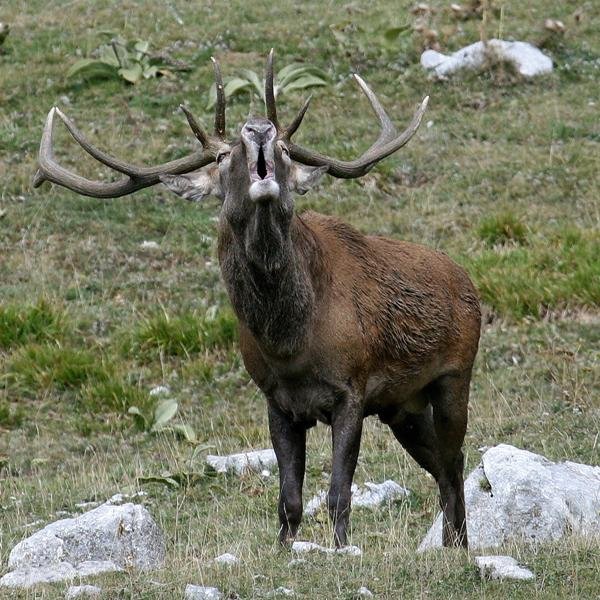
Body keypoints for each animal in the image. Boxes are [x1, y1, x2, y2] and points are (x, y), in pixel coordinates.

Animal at [33, 51, 481, 549]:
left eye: (285, 150)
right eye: (223, 156)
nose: (260, 128)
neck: (291, 345)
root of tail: (466, 280)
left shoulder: (353, 388)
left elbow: (338, 496)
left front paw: (342, 550)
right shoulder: (276, 400)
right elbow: (289, 501)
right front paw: (286, 549)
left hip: (453, 375)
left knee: (455, 459)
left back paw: (458, 546)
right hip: (402, 406)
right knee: (443, 466)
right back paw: (454, 544)